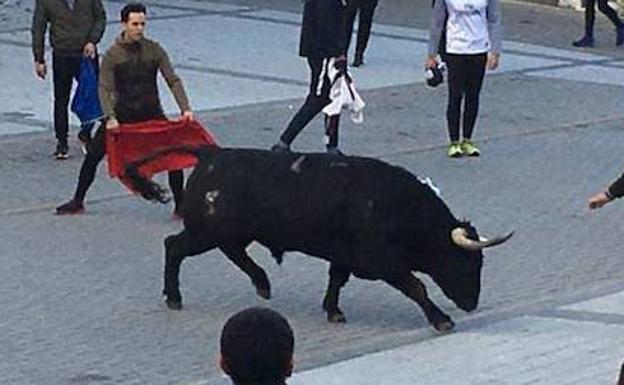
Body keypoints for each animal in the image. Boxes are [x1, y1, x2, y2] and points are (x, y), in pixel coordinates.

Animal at [127, 146, 512, 332]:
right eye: (466, 262)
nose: (472, 303)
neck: (400, 207)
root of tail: (212, 155)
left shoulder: (344, 256)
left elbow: (336, 280)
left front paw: (333, 310)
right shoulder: (384, 264)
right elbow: (417, 287)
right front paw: (441, 320)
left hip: (228, 231)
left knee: (231, 252)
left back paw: (262, 284)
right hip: (206, 231)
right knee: (174, 247)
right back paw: (175, 297)